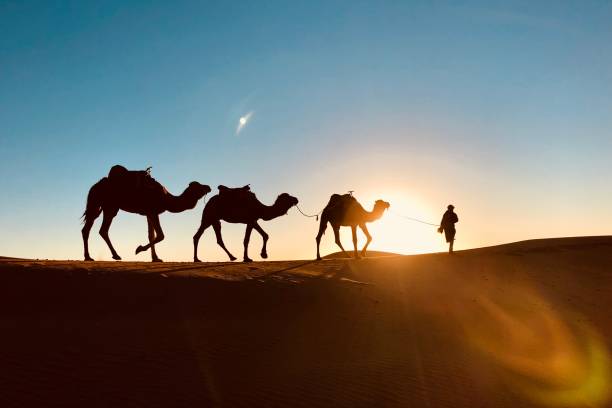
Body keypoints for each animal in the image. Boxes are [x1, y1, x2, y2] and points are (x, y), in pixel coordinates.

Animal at [81, 165, 212, 262]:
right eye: (198, 186)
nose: (208, 187)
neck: (166, 199)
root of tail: (95, 186)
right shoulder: (153, 211)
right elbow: (161, 235)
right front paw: (138, 249)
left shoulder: (149, 213)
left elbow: (151, 235)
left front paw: (156, 258)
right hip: (109, 206)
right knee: (102, 229)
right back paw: (113, 255)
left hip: (101, 206)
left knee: (89, 228)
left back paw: (90, 257)